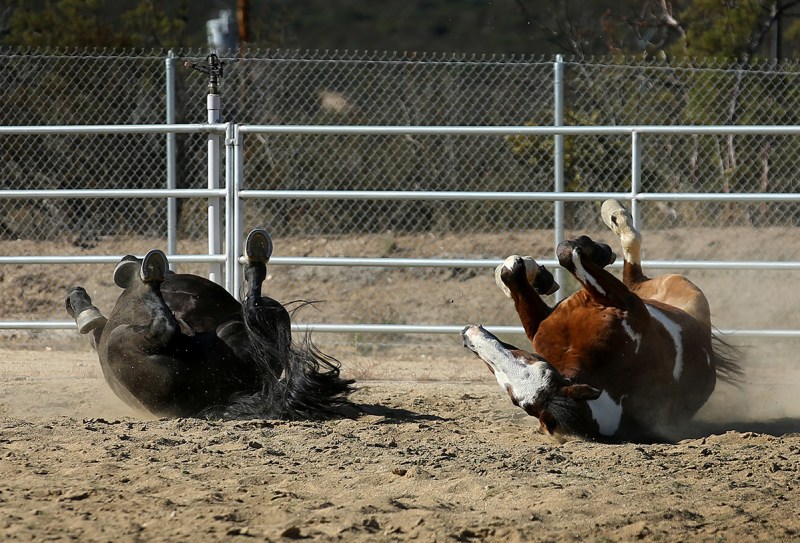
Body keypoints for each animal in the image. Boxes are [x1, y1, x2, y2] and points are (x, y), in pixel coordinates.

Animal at [466, 206, 740, 440]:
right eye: (515, 398)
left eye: (535, 362)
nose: (469, 337)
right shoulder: (618, 302)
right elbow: (551, 260)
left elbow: (544, 262)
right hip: (662, 289)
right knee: (632, 268)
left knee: (630, 264)